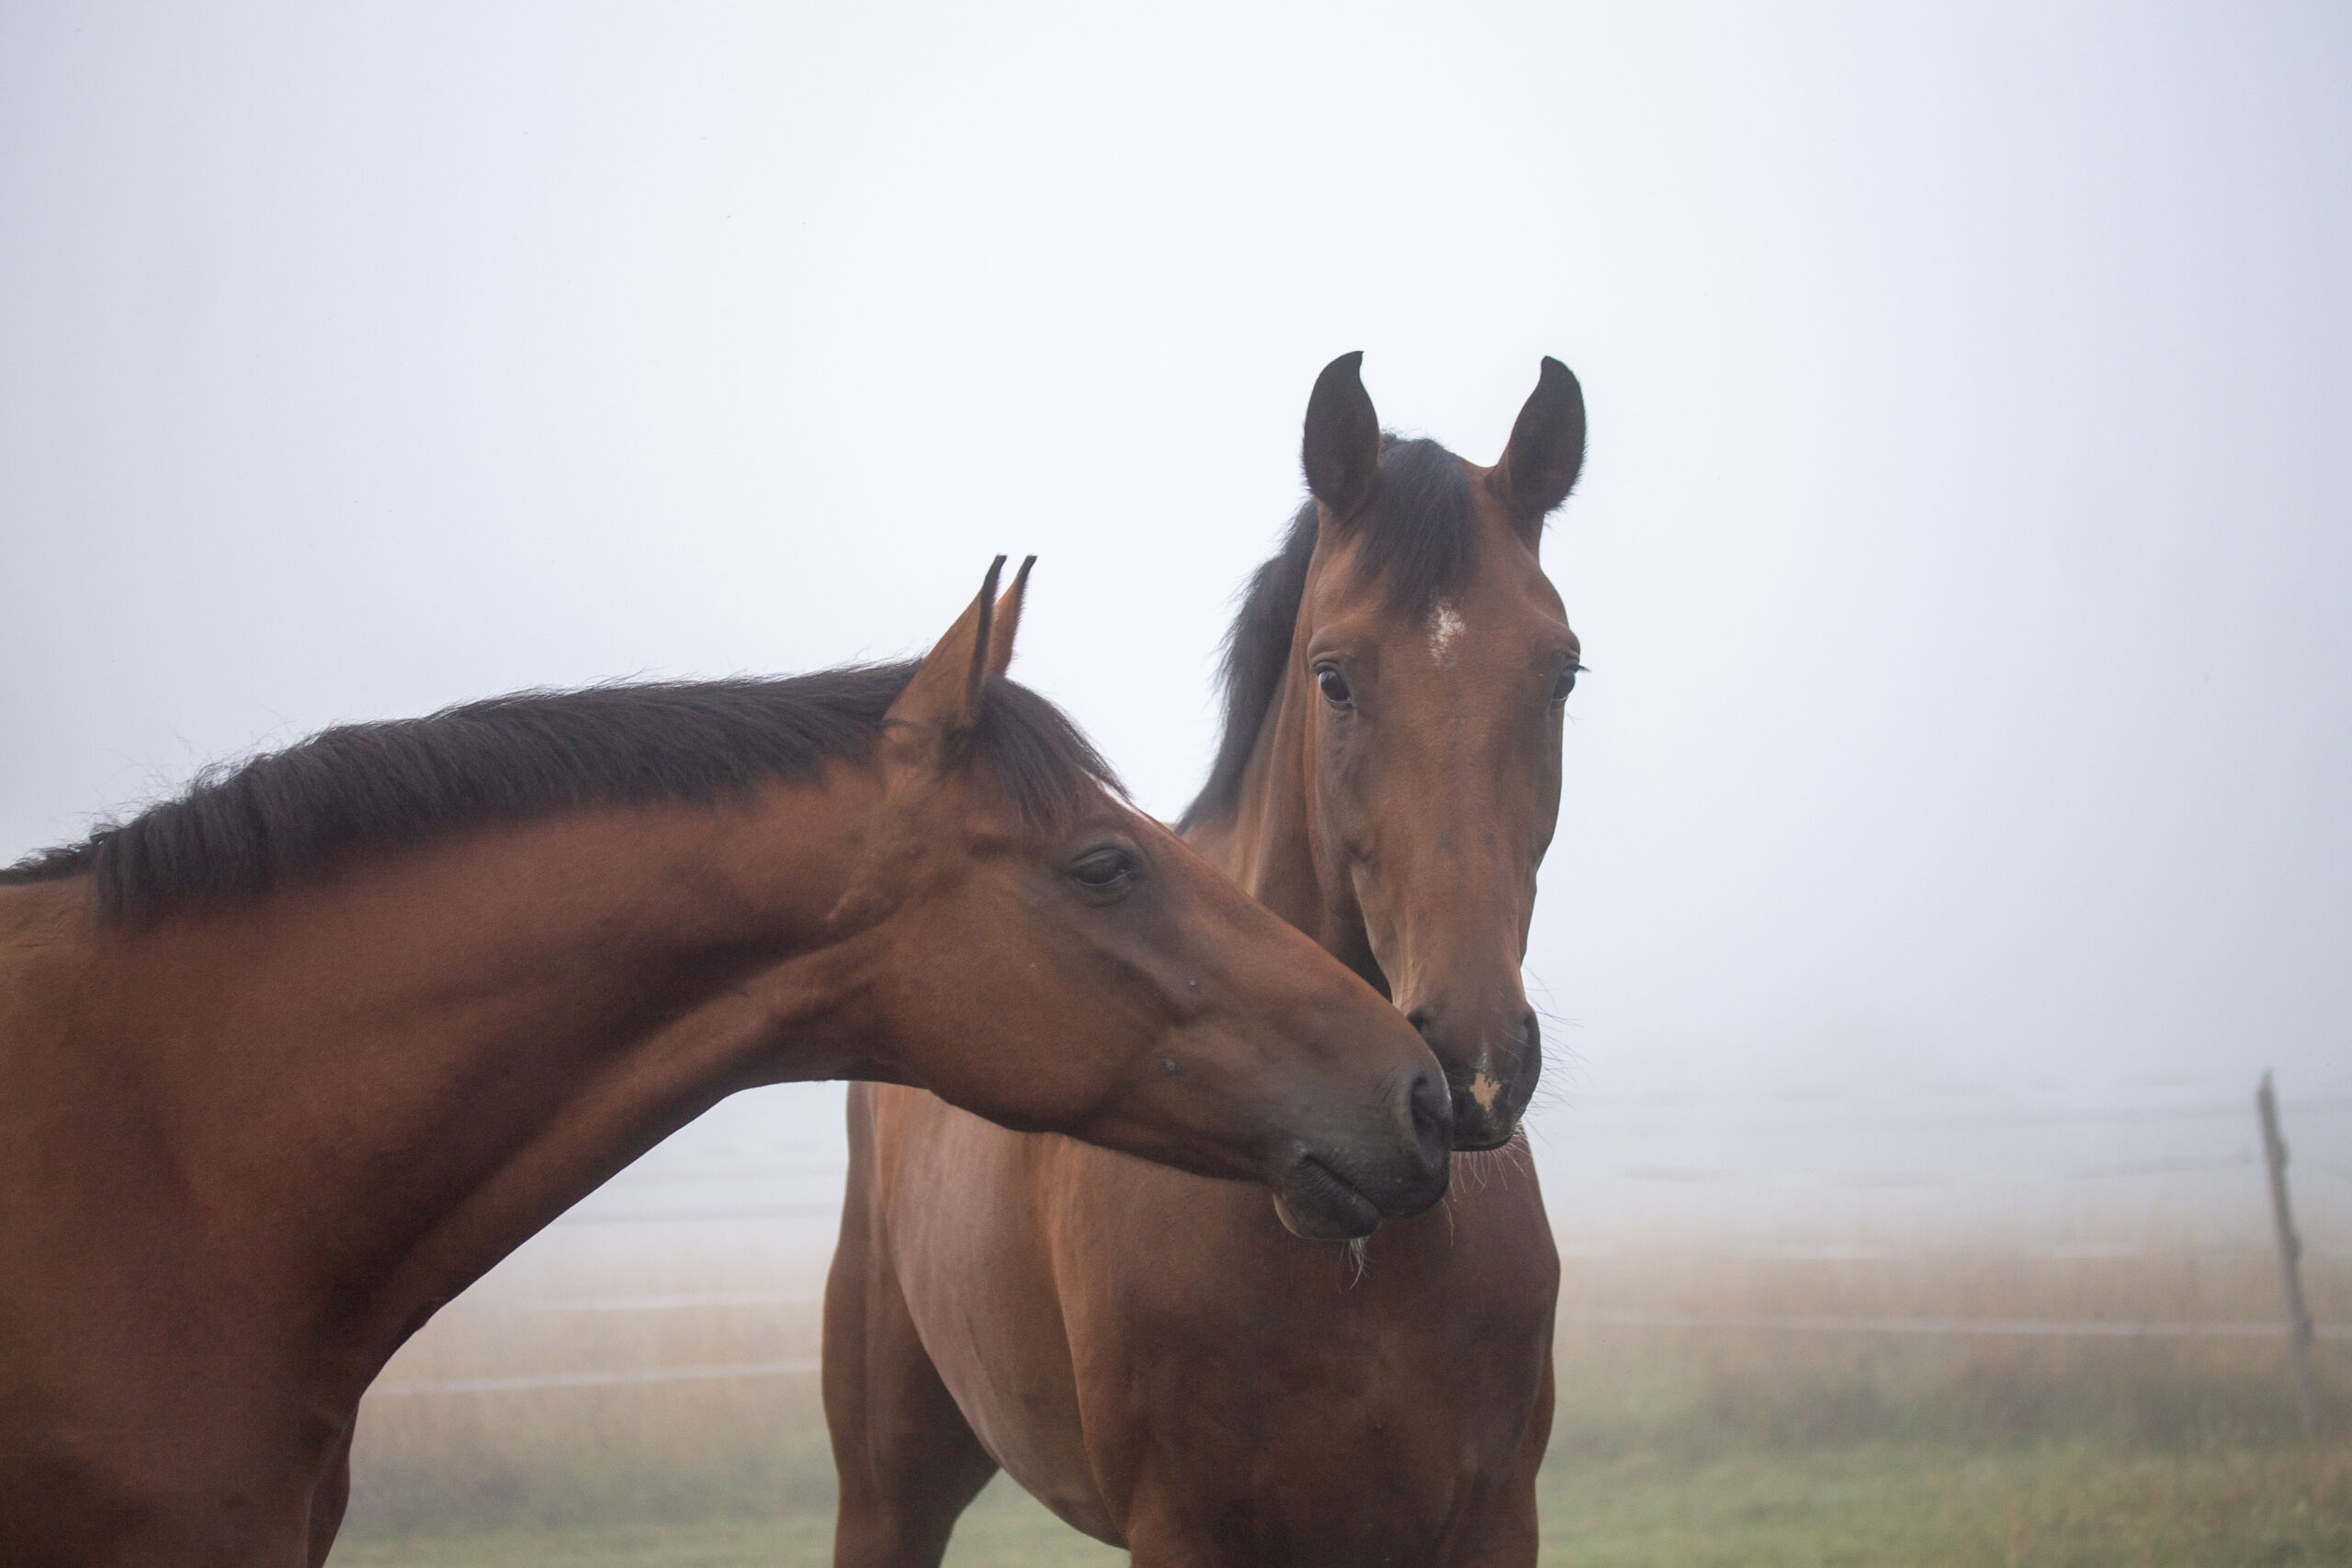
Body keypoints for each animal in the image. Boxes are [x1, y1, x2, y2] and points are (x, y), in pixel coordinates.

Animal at [828, 362, 1580, 1561]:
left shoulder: (1492, 1521)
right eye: (1333, 678)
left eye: (1560, 674)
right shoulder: (1187, 1528)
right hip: (889, 1488)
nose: (1470, 1066)